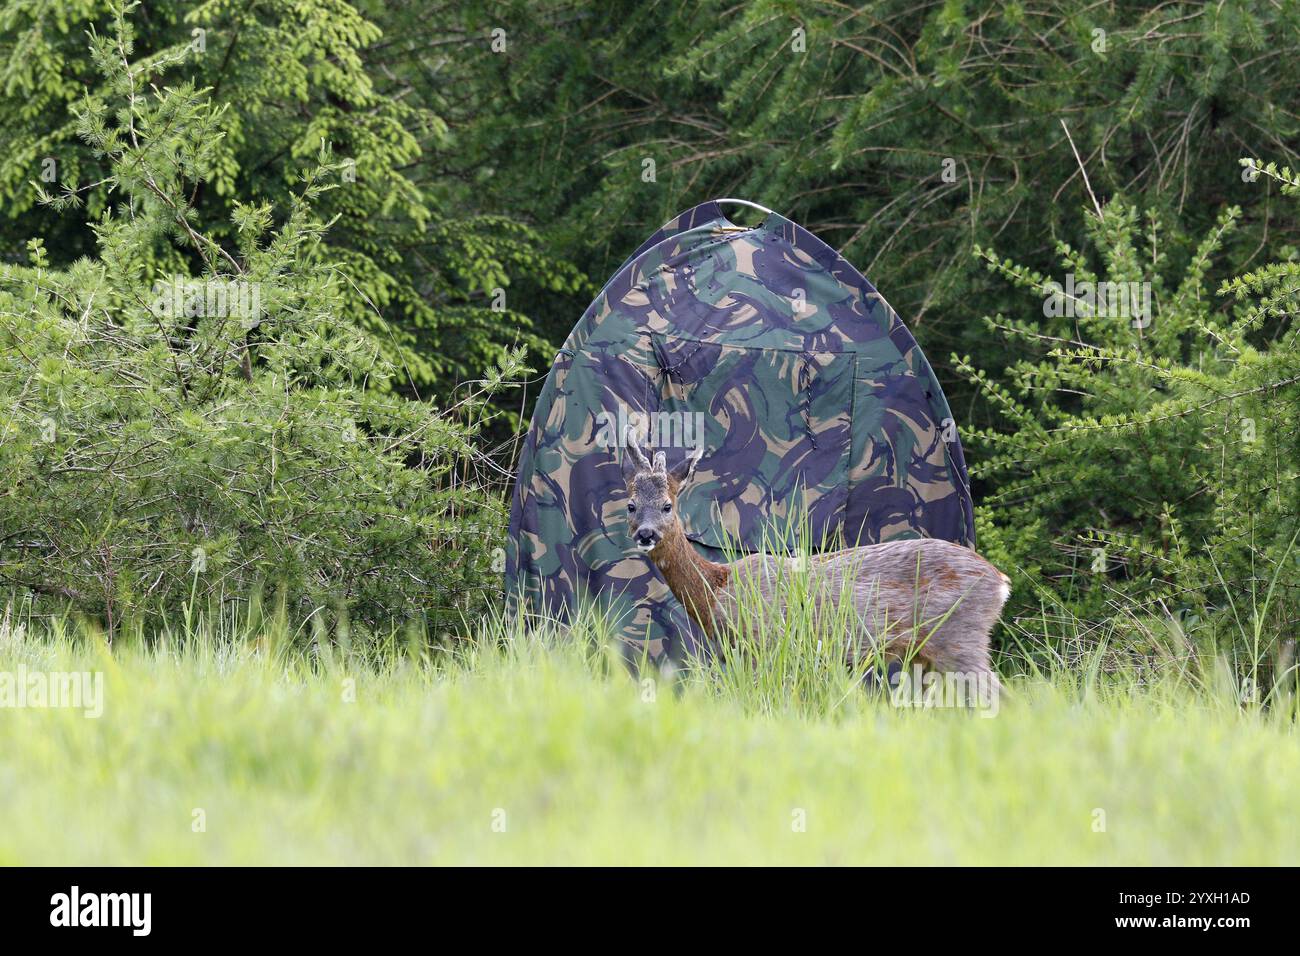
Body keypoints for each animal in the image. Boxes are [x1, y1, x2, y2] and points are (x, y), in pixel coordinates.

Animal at [620, 428, 1010, 701]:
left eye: (668, 505)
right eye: (631, 504)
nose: (645, 533)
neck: (717, 587)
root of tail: (1000, 581)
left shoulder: (765, 642)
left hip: (959, 638)